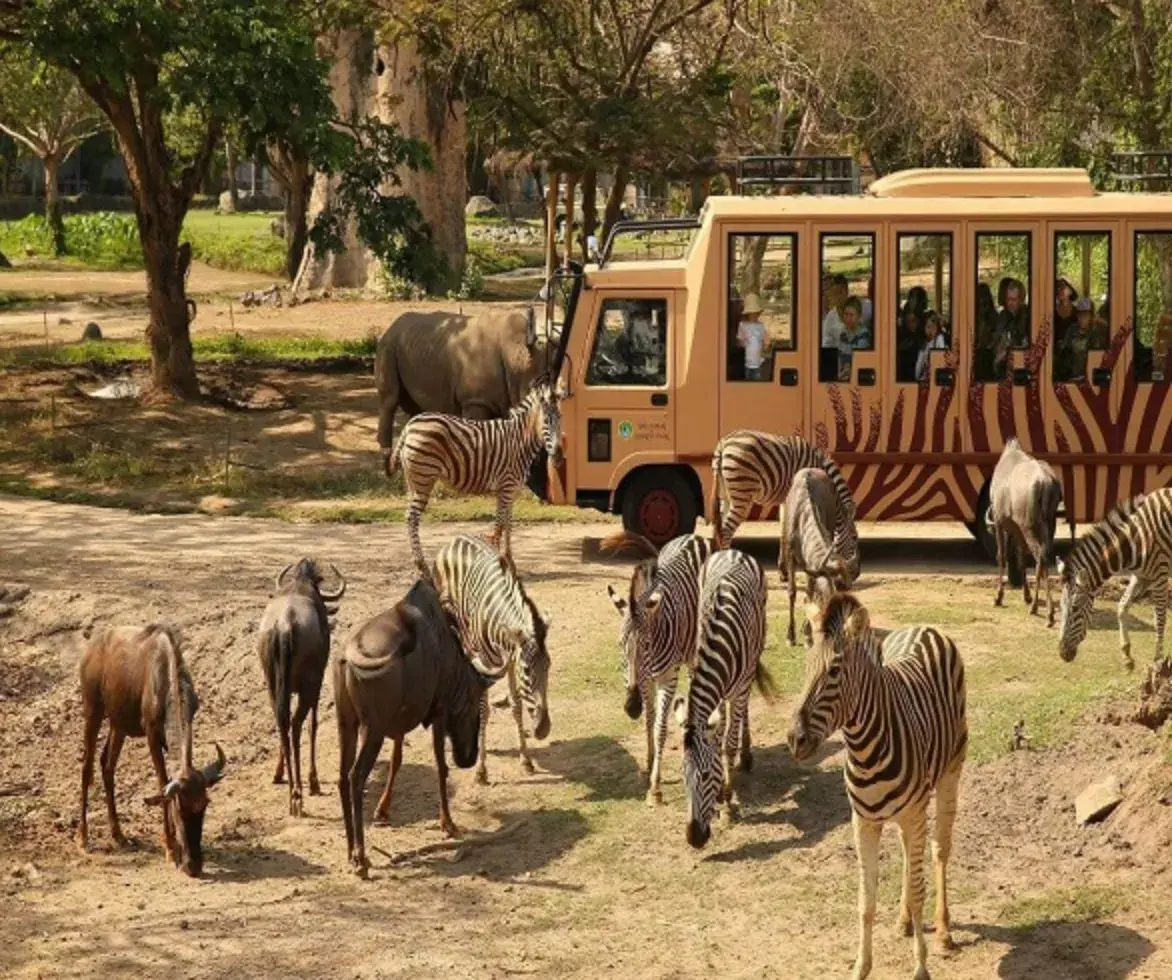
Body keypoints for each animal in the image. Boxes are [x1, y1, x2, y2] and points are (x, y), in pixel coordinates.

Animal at [375, 308, 549, 455]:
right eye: (535, 385)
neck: (516, 355)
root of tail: (391, 326)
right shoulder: (476, 401)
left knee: (414, 407)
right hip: (388, 345)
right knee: (390, 400)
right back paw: (387, 455)